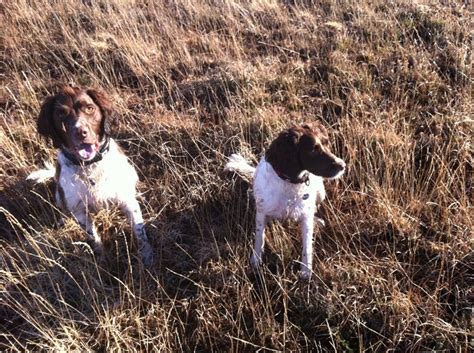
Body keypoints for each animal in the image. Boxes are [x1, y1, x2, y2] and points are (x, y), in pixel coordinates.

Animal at [26, 86, 153, 266]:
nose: (81, 132)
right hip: (59, 195)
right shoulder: (79, 211)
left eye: (89, 108)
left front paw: (147, 256)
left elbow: (139, 232)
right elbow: (94, 237)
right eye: (61, 114)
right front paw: (102, 258)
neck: (88, 166)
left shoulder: (127, 202)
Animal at [225, 121, 344, 278]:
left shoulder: (305, 215)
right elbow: (259, 238)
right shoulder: (261, 213)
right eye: (313, 149)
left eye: (326, 142)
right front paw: (256, 261)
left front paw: (306, 271)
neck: (291, 182)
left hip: (321, 193)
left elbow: (307, 245)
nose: (343, 165)